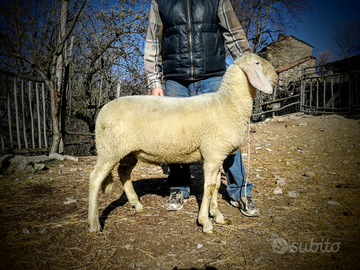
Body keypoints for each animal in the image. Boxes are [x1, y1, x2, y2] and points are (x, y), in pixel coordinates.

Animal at [88, 53, 278, 234]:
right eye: (257, 63)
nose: (276, 78)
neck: (227, 103)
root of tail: (103, 110)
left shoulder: (216, 154)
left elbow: (216, 186)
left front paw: (217, 215)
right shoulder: (213, 154)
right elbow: (208, 188)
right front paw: (205, 222)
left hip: (129, 151)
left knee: (123, 172)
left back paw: (137, 204)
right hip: (109, 149)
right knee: (95, 179)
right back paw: (94, 224)